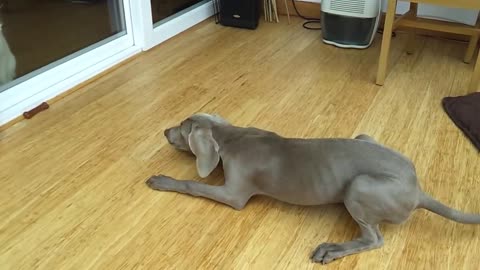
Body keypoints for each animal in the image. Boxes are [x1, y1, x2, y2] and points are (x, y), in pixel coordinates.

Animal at [145, 112, 480, 264]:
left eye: (181, 127)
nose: (163, 131)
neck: (232, 136)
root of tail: (417, 190)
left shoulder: (234, 195)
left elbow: (192, 184)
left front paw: (162, 180)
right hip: (364, 137)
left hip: (360, 186)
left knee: (374, 239)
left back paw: (331, 250)